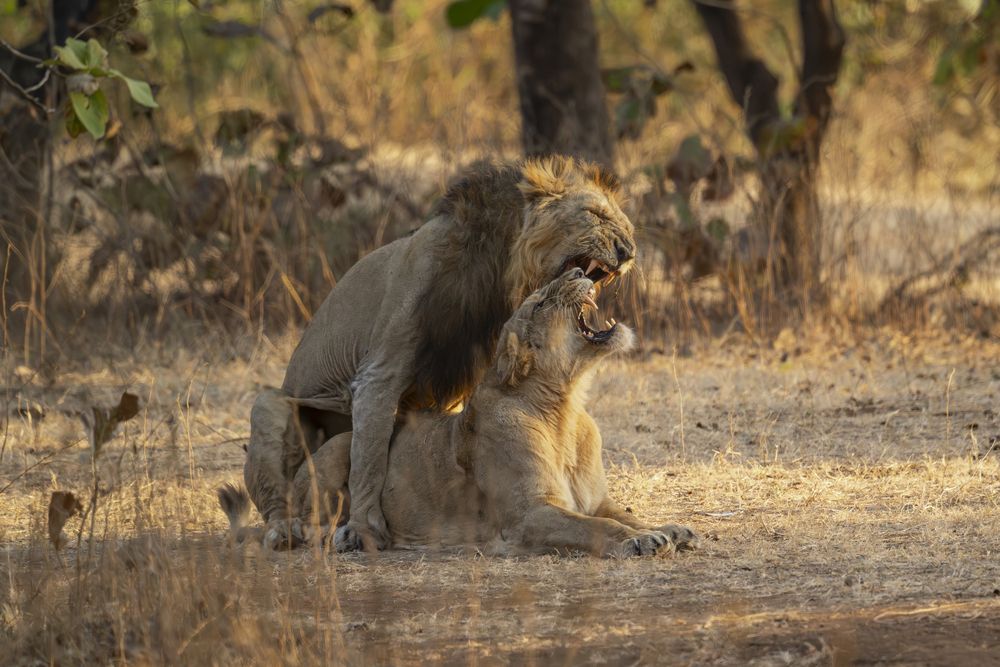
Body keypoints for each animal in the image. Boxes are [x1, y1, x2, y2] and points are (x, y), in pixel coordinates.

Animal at [224, 269, 697, 557]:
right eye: (540, 304)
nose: (582, 272)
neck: (563, 407)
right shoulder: (529, 516)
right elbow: (598, 529)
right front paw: (643, 541)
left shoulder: (596, 500)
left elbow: (624, 514)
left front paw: (671, 528)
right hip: (336, 451)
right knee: (303, 521)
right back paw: (337, 534)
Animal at [245, 156, 638, 552]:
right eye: (593, 214)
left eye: (627, 228)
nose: (629, 252)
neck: (498, 270)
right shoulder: (380, 370)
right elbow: (369, 455)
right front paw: (363, 527)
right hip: (271, 408)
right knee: (281, 490)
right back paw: (285, 530)